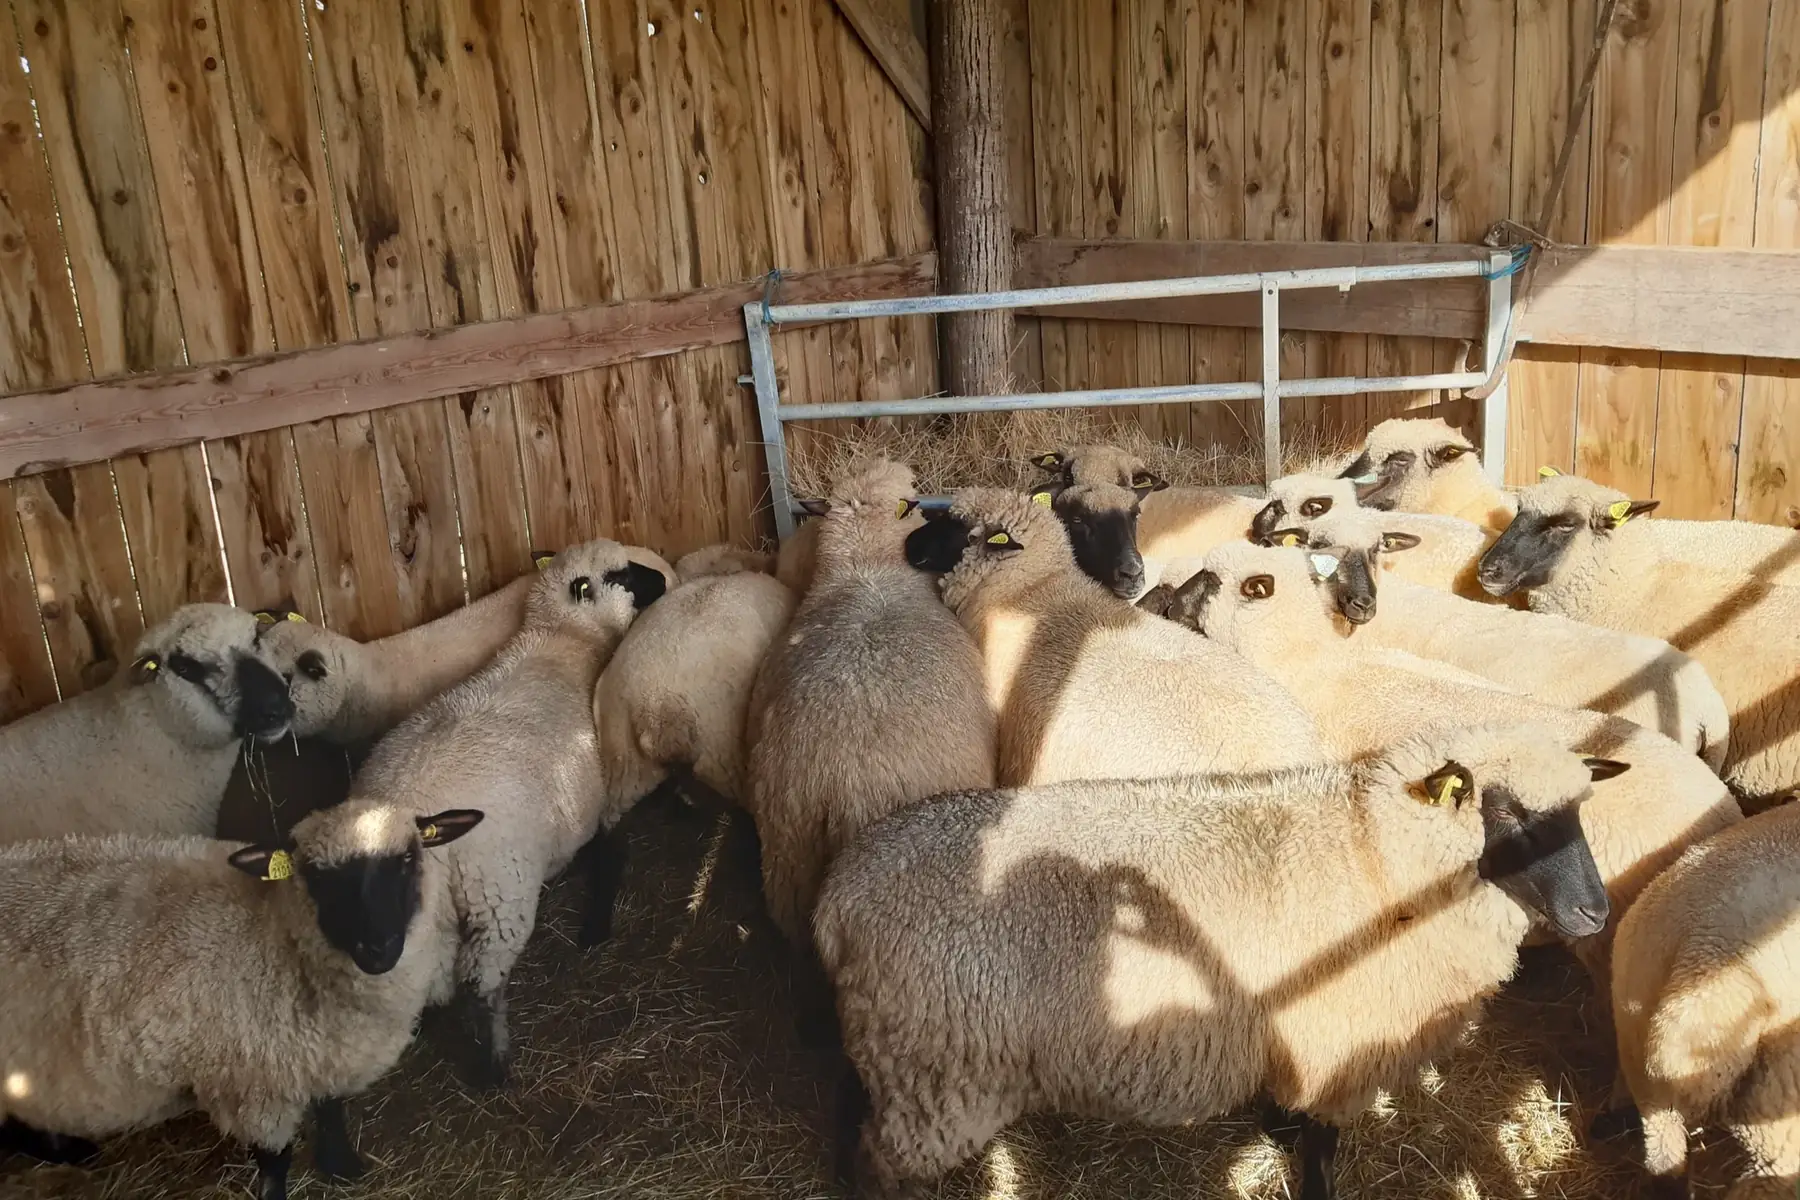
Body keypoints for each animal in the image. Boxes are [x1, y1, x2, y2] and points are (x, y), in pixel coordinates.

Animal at [0, 799, 485, 1200]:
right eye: (318, 876)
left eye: (406, 860)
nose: (378, 948)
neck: (277, 935)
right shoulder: (255, 1084)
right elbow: (275, 1163)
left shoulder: (321, 1053)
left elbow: (331, 1108)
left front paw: (341, 1165)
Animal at [347, 539, 667, 1085]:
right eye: (621, 575)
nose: (664, 580)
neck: (564, 641)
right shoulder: (605, 792)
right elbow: (610, 854)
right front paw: (596, 927)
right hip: (498, 892)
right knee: (482, 982)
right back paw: (494, 1063)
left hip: (428, 916)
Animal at [815, 721, 1614, 1200]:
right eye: (1508, 813)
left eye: (1581, 812)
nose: (1596, 914)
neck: (1375, 855)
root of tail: (840, 895)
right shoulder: (1340, 1046)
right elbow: (1322, 1146)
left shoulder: (1293, 1035)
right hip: (937, 1071)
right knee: (875, 1162)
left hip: (901, 1061)